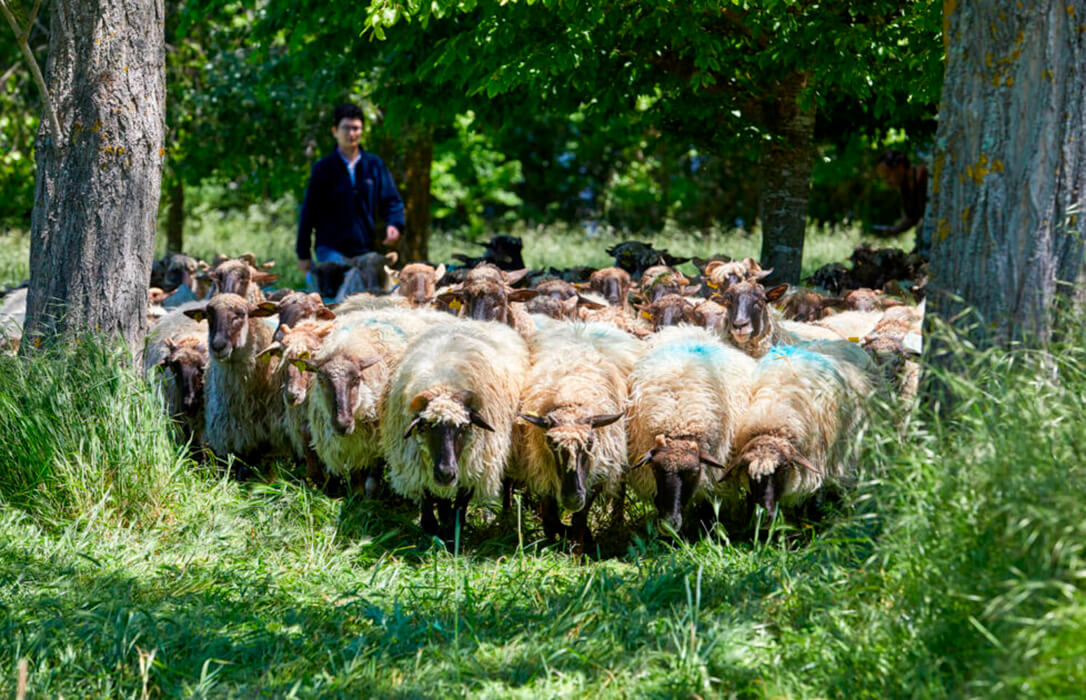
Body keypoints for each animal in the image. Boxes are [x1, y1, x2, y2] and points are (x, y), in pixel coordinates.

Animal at [384, 319, 532, 538]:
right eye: (426, 426)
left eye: (463, 427)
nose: (446, 473)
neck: (444, 382)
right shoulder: (419, 465)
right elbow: (430, 513)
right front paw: (435, 533)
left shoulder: (472, 466)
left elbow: (459, 513)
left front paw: (452, 537)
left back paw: (505, 513)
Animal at [512, 319, 638, 549]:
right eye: (551, 444)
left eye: (589, 443)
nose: (571, 498)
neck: (570, 398)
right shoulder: (544, 467)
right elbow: (550, 515)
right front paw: (554, 539)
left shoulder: (598, 469)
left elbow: (580, 517)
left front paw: (579, 547)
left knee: (620, 491)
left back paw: (616, 526)